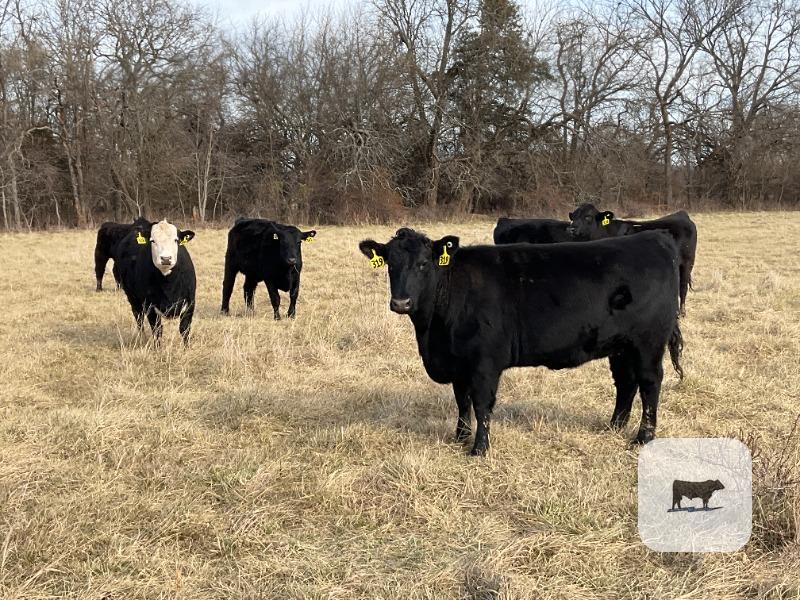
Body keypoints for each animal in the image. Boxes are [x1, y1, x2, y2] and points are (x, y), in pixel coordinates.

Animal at [359, 228, 683, 456]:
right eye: (389, 264)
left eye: (424, 264)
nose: (401, 302)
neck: (432, 334)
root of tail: (657, 238)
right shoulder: (458, 362)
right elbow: (461, 401)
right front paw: (460, 437)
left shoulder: (485, 363)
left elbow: (481, 405)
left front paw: (479, 449)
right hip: (621, 346)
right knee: (626, 383)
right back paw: (613, 427)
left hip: (648, 343)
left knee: (650, 383)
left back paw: (643, 437)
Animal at [567, 203, 698, 313]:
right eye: (573, 217)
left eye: (588, 217)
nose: (571, 229)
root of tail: (681, 214)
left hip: (687, 262)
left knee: (683, 287)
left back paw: (682, 312)